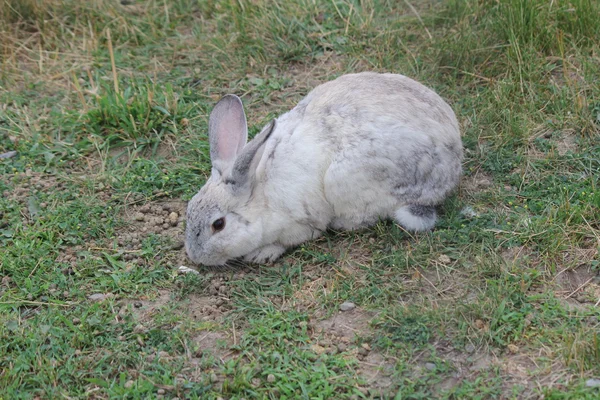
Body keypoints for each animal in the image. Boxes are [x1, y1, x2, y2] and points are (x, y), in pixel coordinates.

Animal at [185, 72, 462, 266]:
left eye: (218, 224)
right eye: (188, 209)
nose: (196, 257)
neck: (258, 189)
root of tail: (452, 168)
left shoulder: (302, 223)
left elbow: (294, 239)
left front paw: (262, 253)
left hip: (345, 181)